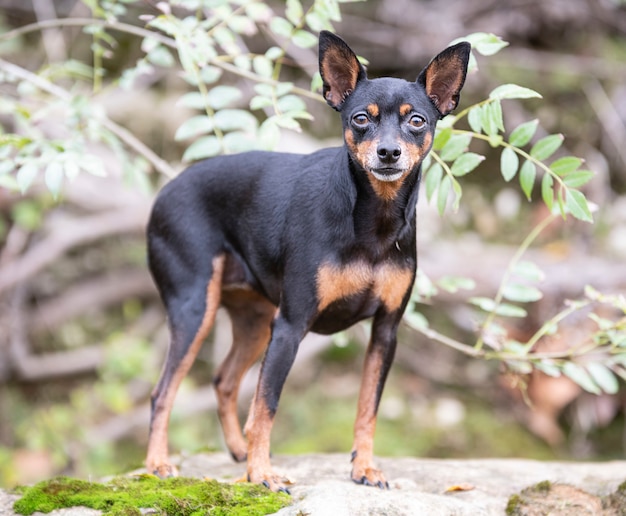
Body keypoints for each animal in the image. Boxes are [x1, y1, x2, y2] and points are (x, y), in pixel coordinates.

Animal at [146, 29, 468, 492]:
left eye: (417, 121)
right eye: (360, 119)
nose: (388, 153)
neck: (373, 220)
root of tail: (162, 195)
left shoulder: (385, 332)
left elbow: (367, 408)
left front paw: (363, 467)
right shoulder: (291, 326)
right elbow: (266, 405)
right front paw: (262, 474)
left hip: (254, 319)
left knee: (224, 380)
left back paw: (237, 452)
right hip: (196, 311)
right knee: (163, 391)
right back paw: (158, 463)